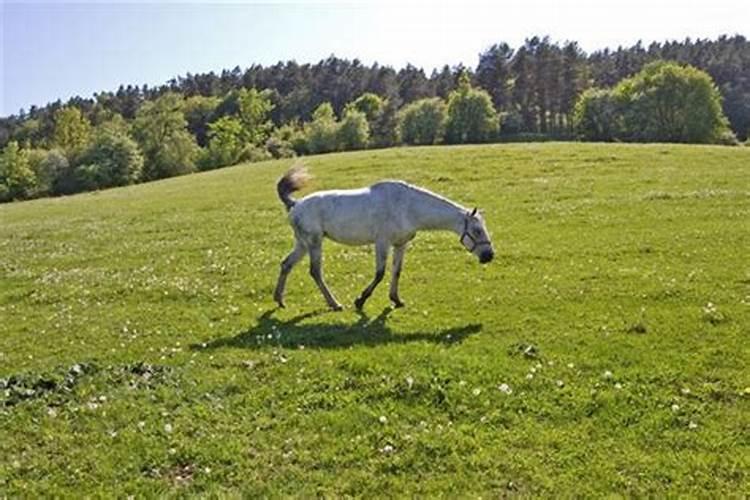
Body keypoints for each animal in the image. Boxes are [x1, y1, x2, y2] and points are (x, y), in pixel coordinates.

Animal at [274, 166, 496, 310]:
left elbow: (396, 272)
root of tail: (295, 204)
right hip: (314, 243)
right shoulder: (382, 243)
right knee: (315, 272)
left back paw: (280, 300)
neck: (408, 206)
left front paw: (396, 300)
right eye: (477, 230)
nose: (489, 256)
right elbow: (380, 273)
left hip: (303, 244)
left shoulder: (400, 244)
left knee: (286, 264)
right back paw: (334, 304)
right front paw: (361, 300)